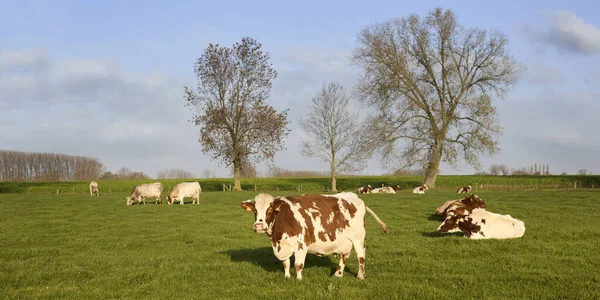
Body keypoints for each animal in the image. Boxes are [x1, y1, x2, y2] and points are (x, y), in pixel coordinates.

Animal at [240, 193, 390, 280]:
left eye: (270, 209)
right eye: (255, 210)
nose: (259, 225)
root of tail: (356, 197)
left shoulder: (301, 244)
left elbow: (298, 264)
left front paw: (298, 279)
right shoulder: (283, 245)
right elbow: (286, 263)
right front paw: (287, 277)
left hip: (358, 238)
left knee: (361, 256)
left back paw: (360, 276)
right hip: (344, 241)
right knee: (345, 256)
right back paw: (337, 275)